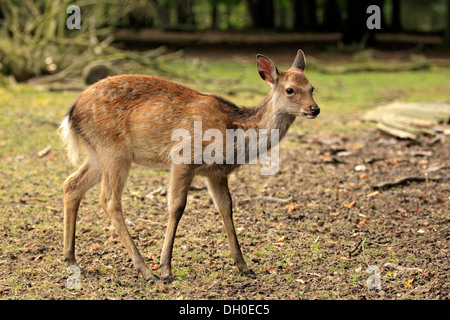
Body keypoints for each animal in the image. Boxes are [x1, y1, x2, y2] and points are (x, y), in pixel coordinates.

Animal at [60, 48, 320, 282]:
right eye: (290, 89)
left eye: (312, 87)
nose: (314, 108)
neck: (234, 133)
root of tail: (72, 110)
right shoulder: (184, 156)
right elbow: (176, 206)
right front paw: (166, 268)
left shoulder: (216, 172)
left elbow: (226, 207)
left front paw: (244, 266)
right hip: (113, 151)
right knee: (109, 200)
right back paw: (147, 271)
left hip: (98, 154)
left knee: (71, 184)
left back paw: (71, 259)